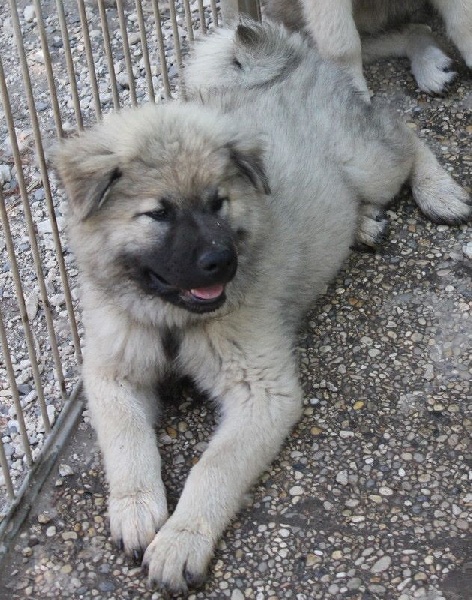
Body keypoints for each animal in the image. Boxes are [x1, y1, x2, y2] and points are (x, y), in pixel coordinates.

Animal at [54, 19, 471, 595]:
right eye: (159, 214)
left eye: (218, 203)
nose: (221, 262)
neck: (172, 318)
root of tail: (289, 55)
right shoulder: (111, 370)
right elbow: (125, 438)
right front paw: (135, 509)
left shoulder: (262, 392)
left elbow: (214, 467)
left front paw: (181, 540)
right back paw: (365, 223)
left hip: (369, 162)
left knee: (407, 136)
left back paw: (440, 192)